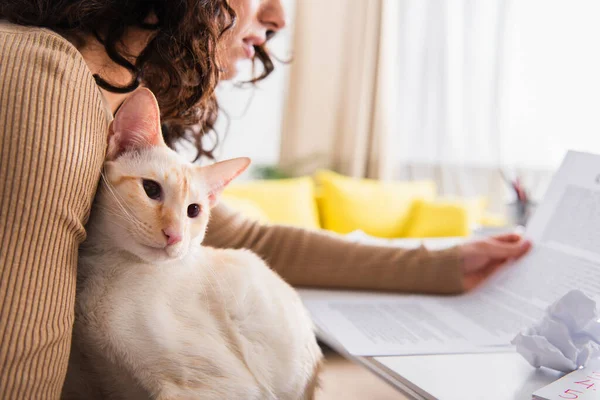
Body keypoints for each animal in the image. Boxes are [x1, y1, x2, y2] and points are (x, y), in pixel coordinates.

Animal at [61, 88, 322, 400]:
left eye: (193, 210)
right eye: (151, 189)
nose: (174, 235)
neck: (107, 267)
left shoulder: (218, 386)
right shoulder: (96, 380)